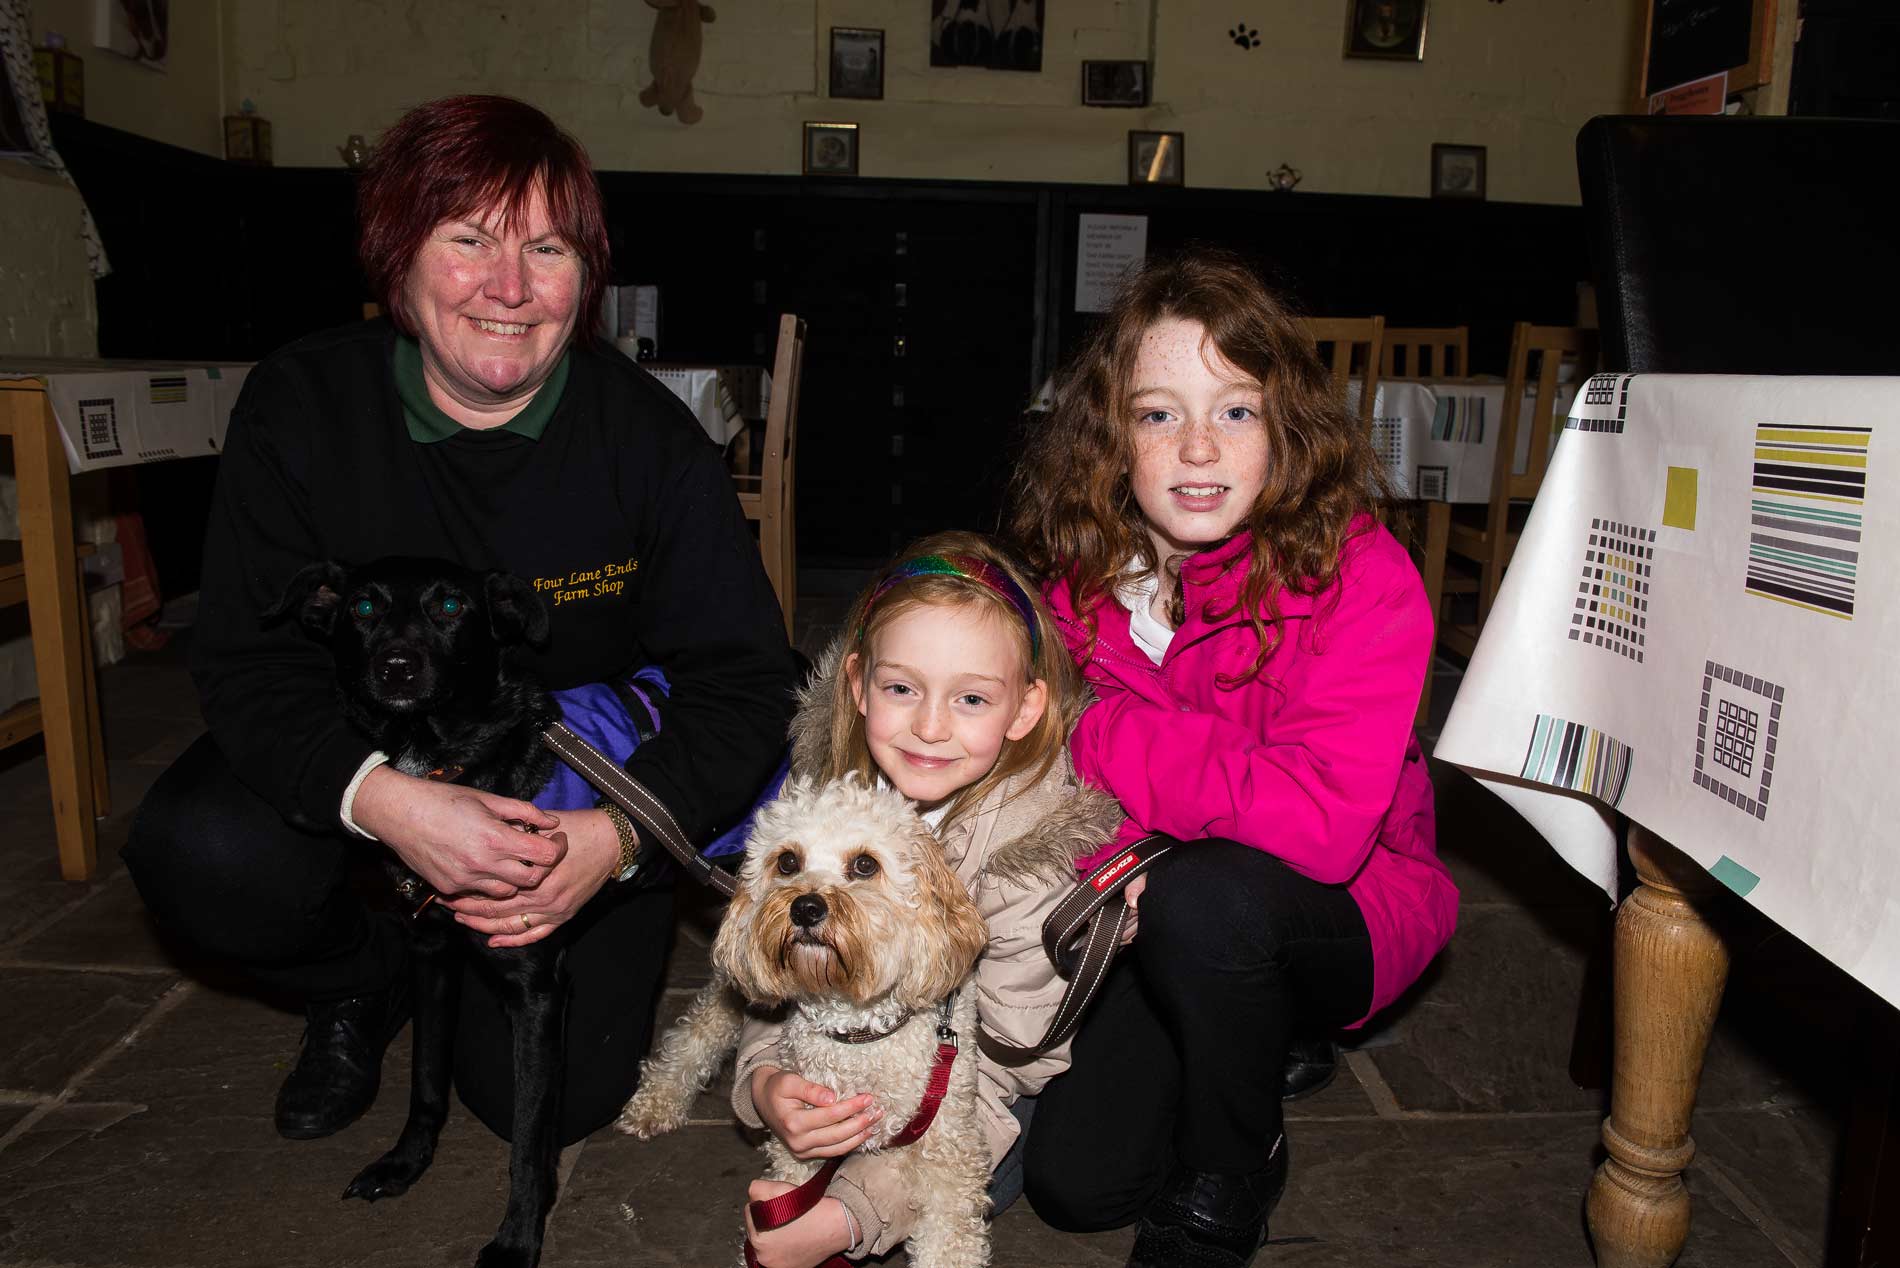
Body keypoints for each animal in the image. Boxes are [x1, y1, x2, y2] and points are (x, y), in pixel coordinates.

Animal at [264, 555, 566, 1268]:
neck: (440, 759)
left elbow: (527, 1134)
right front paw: (405, 1163)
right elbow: (426, 1078)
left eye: (451, 606)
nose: (397, 667)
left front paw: (519, 1235)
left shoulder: (535, 991)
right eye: (363, 608)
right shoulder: (432, 955)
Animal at [619, 775, 988, 1268]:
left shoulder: (947, 1154)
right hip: (732, 992)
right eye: (788, 861)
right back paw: (654, 1103)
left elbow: (950, 1240)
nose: (806, 908)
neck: (858, 1033)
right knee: (695, 1034)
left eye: (865, 865)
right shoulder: (800, 1143)